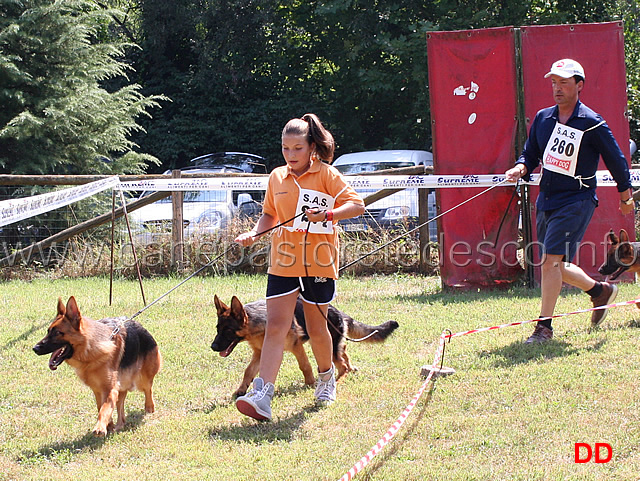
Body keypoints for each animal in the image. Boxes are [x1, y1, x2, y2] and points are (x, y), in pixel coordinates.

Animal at [32, 296, 162, 436]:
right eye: (48, 331)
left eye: (58, 333)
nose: (35, 348)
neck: (89, 351)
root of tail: (141, 326)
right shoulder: (98, 390)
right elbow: (101, 407)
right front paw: (108, 425)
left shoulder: (110, 389)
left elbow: (104, 409)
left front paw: (100, 427)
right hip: (122, 385)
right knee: (120, 405)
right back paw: (119, 424)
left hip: (142, 379)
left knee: (148, 389)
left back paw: (149, 407)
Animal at [212, 294, 398, 396]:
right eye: (218, 329)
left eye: (228, 331)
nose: (213, 347)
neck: (257, 322)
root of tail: (338, 311)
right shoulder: (260, 352)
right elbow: (248, 371)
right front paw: (241, 390)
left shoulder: (296, 346)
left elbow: (305, 366)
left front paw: (310, 383)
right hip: (335, 343)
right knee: (344, 351)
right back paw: (350, 369)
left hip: (326, 344)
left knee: (341, 364)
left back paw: (338, 380)